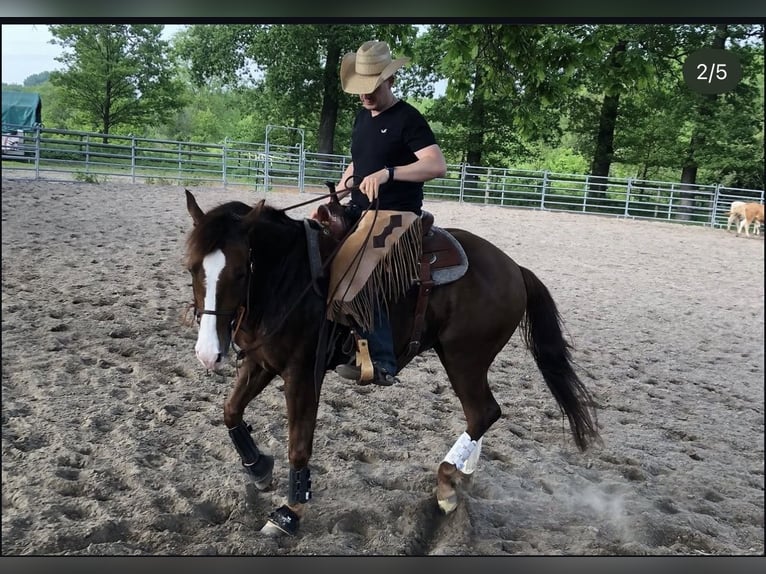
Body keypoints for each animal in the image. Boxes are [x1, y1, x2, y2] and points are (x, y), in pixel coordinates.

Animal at [183, 188, 601, 537]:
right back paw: (463, 474)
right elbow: (231, 411)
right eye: (191, 267)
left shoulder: (302, 373)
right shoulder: (262, 361)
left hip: (464, 357)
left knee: (484, 411)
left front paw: (289, 513)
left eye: (241, 270)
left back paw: (447, 483)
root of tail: (515, 268)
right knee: (480, 414)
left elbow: (299, 444)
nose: (207, 352)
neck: (290, 276)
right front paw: (258, 468)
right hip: (464, 358)